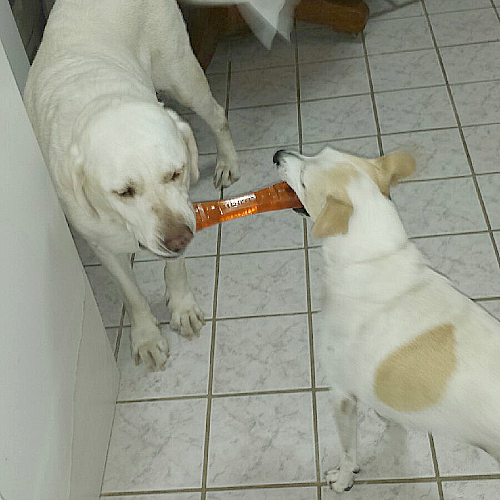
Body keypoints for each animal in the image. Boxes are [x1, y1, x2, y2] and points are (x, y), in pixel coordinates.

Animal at [23, 0, 240, 372]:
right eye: (124, 192)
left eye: (176, 173)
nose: (179, 238)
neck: (99, 99)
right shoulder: (102, 245)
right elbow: (131, 293)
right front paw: (147, 338)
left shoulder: (183, 211)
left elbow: (176, 267)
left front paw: (181, 306)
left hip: (181, 74)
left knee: (216, 114)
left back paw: (227, 161)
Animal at [276, 147, 500, 492]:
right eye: (320, 151)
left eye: (303, 179)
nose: (277, 154)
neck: (373, 258)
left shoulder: (341, 393)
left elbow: (348, 451)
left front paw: (343, 479)